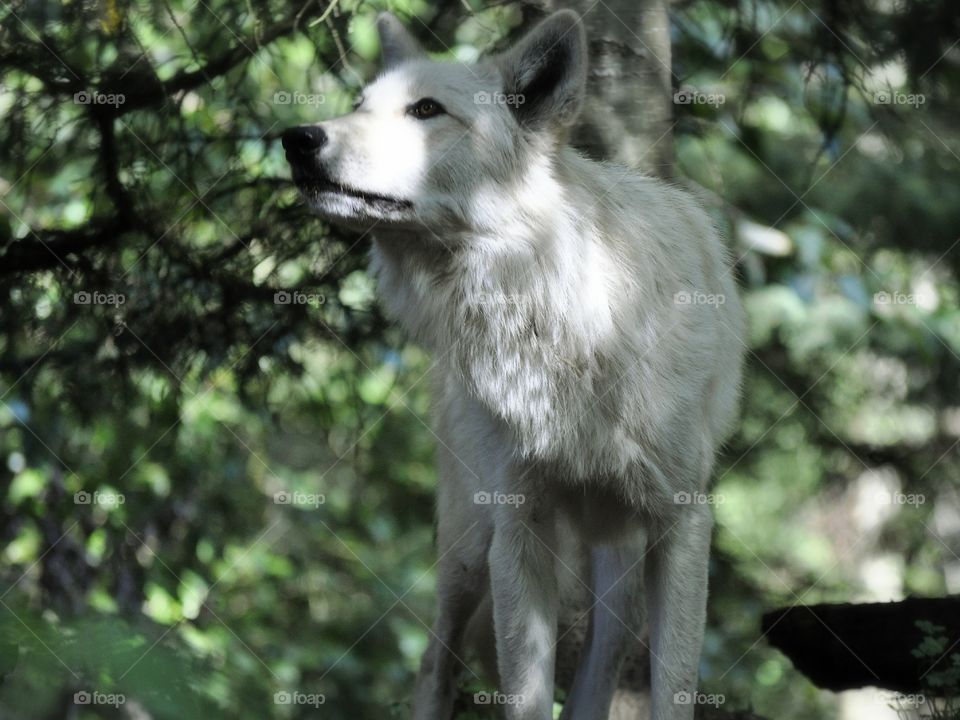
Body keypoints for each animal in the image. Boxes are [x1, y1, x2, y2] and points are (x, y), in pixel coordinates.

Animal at [282, 10, 745, 720]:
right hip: (472, 548)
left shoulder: (683, 523)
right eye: (359, 106)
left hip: (615, 565)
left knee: (599, 663)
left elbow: (674, 690)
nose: (297, 138)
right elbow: (521, 696)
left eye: (425, 110)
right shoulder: (519, 528)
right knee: (433, 660)